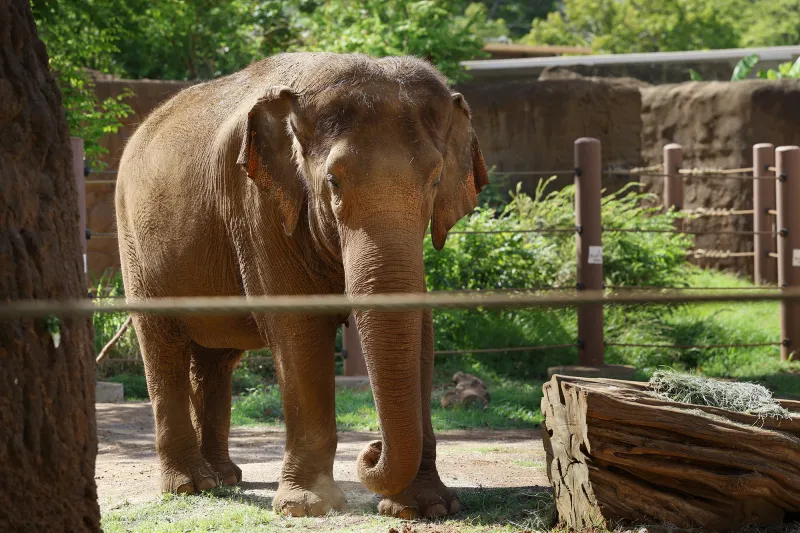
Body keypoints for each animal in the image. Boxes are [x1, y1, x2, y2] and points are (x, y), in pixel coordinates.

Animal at [114, 52, 489, 519]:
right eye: (332, 182)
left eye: (436, 180)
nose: (371, 448)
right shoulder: (259, 205)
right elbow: (299, 327)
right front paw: (308, 506)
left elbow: (421, 328)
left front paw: (427, 508)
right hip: (133, 242)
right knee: (162, 345)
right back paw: (190, 486)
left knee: (215, 360)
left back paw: (224, 477)